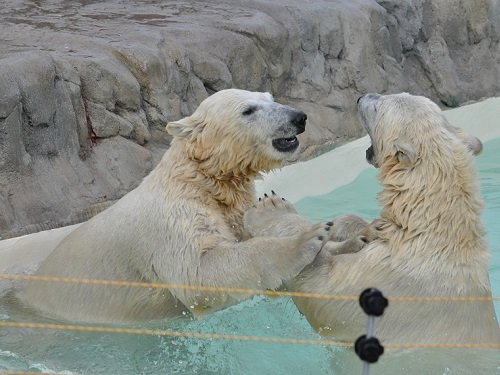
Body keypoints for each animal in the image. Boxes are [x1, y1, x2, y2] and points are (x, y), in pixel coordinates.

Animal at [17, 89, 336, 324]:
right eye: (248, 110)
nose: (299, 117)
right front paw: (306, 239)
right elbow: (199, 272)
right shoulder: (174, 217)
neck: (200, 179)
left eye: (270, 98)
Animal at [244, 91, 498, 350]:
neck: (429, 232)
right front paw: (361, 231)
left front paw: (272, 209)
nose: (362, 97)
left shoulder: (381, 283)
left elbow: (321, 289)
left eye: (378, 107)